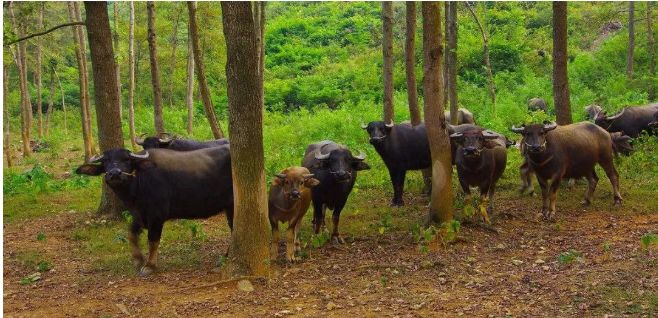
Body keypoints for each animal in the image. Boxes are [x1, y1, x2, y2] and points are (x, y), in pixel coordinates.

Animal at [76, 146, 233, 274]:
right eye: (105, 162)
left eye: (126, 159)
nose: (115, 174)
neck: (138, 185)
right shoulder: (138, 215)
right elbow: (131, 234)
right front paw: (138, 259)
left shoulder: (156, 216)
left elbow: (153, 240)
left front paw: (150, 266)